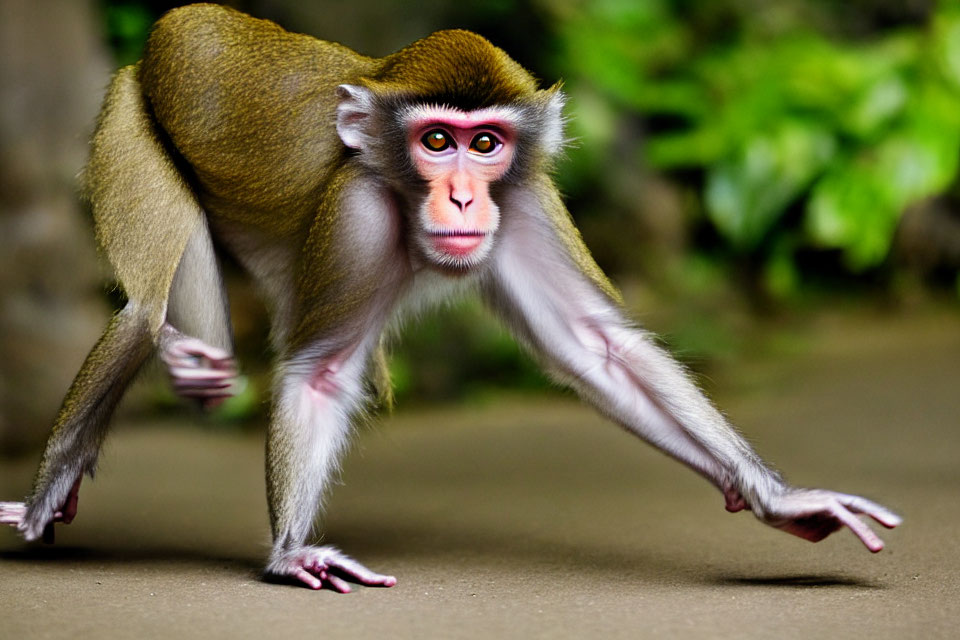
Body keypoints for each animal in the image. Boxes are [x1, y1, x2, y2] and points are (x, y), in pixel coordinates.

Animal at [0, 6, 900, 596]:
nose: (465, 198)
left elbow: (595, 346)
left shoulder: (527, 196)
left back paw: (192, 372)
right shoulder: (358, 215)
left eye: (486, 143)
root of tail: (174, 28)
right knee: (143, 312)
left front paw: (780, 500)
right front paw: (291, 553)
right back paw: (53, 487)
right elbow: (319, 373)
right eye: (437, 141)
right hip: (127, 112)